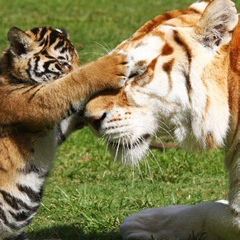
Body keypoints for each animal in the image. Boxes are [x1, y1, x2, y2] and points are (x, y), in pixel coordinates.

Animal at [0, 25, 138, 239]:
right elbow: (70, 84)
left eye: (77, 60)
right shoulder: (33, 102)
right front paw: (112, 64)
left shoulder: (53, 130)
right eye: (62, 64)